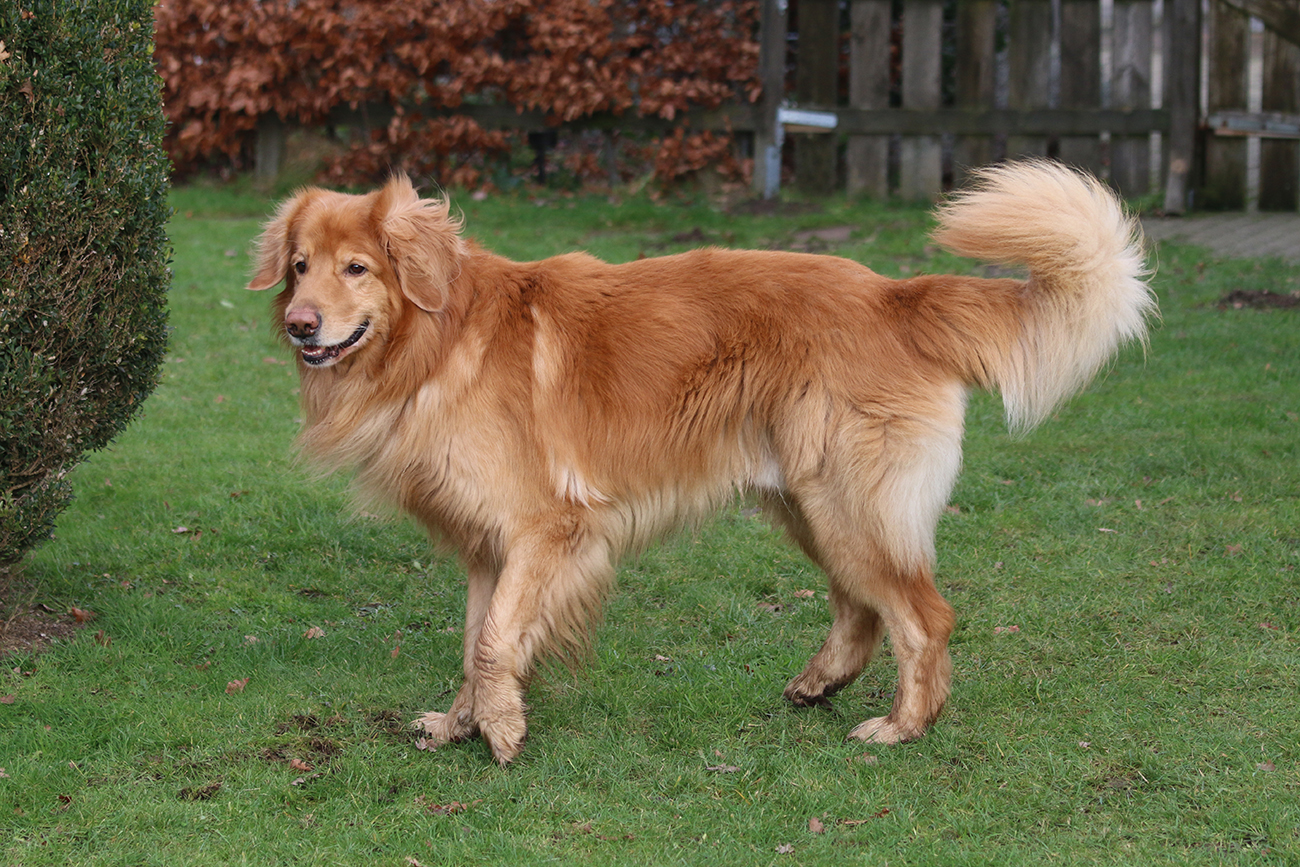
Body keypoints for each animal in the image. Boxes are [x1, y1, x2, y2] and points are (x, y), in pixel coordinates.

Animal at [247, 160, 1154, 764]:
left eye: (357, 267)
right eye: (299, 265)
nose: (299, 323)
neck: (436, 343)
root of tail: (894, 295)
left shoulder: (548, 529)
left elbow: (498, 639)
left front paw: (501, 729)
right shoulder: (488, 549)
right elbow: (475, 639)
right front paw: (462, 721)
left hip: (850, 504)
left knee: (922, 616)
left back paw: (903, 726)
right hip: (808, 503)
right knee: (860, 609)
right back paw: (818, 685)